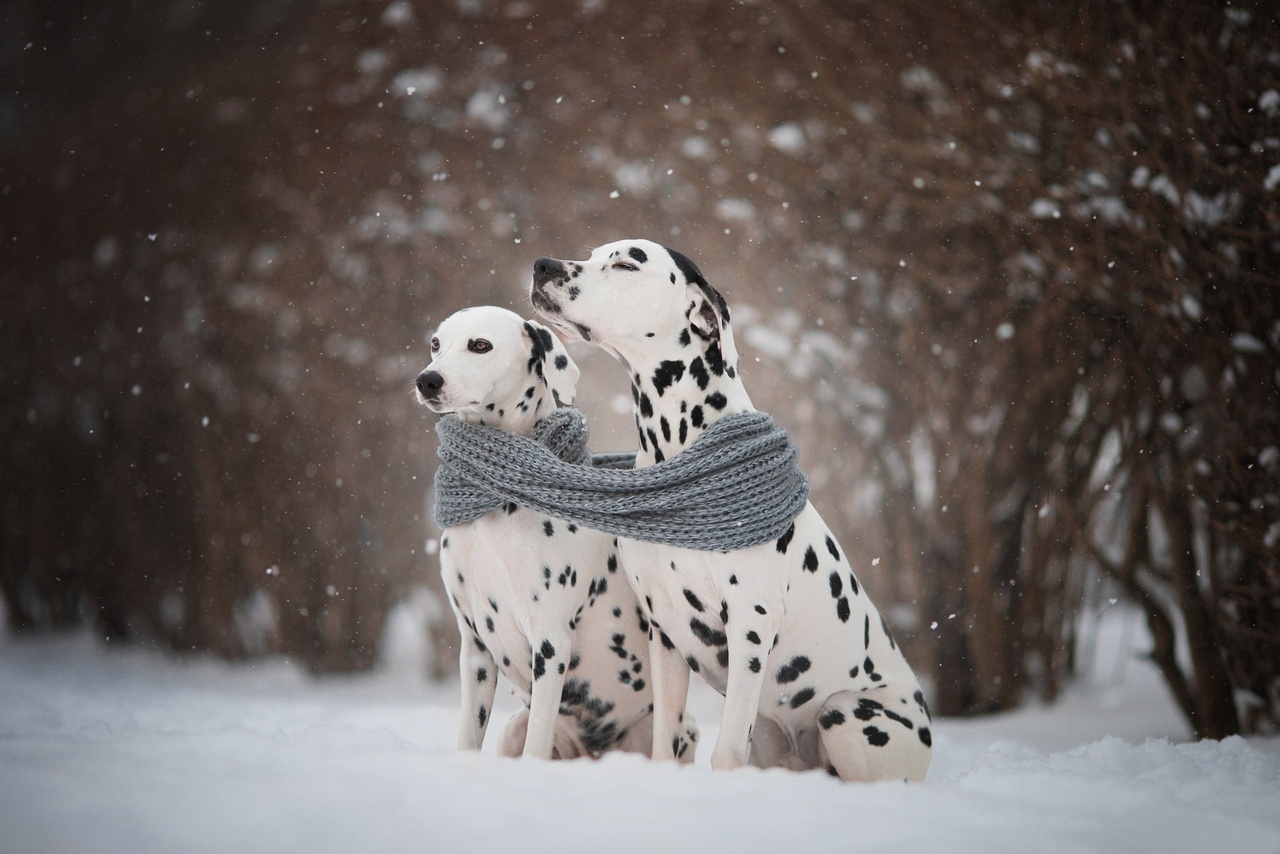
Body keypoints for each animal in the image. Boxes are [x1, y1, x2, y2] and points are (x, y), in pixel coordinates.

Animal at [412, 307, 696, 763]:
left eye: (480, 345)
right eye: (436, 344)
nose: (427, 380)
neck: (496, 509)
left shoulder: (550, 643)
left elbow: (537, 744)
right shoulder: (474, 649)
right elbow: (468, 737)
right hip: (512, 727)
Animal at [524, 240, 936, 783]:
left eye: (627, 263)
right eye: (593, 254)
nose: (542, 265)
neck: (677, 448)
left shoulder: (750, 624)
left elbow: (725, 753)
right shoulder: (664, 632)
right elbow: (664, 741)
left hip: (847, 712)